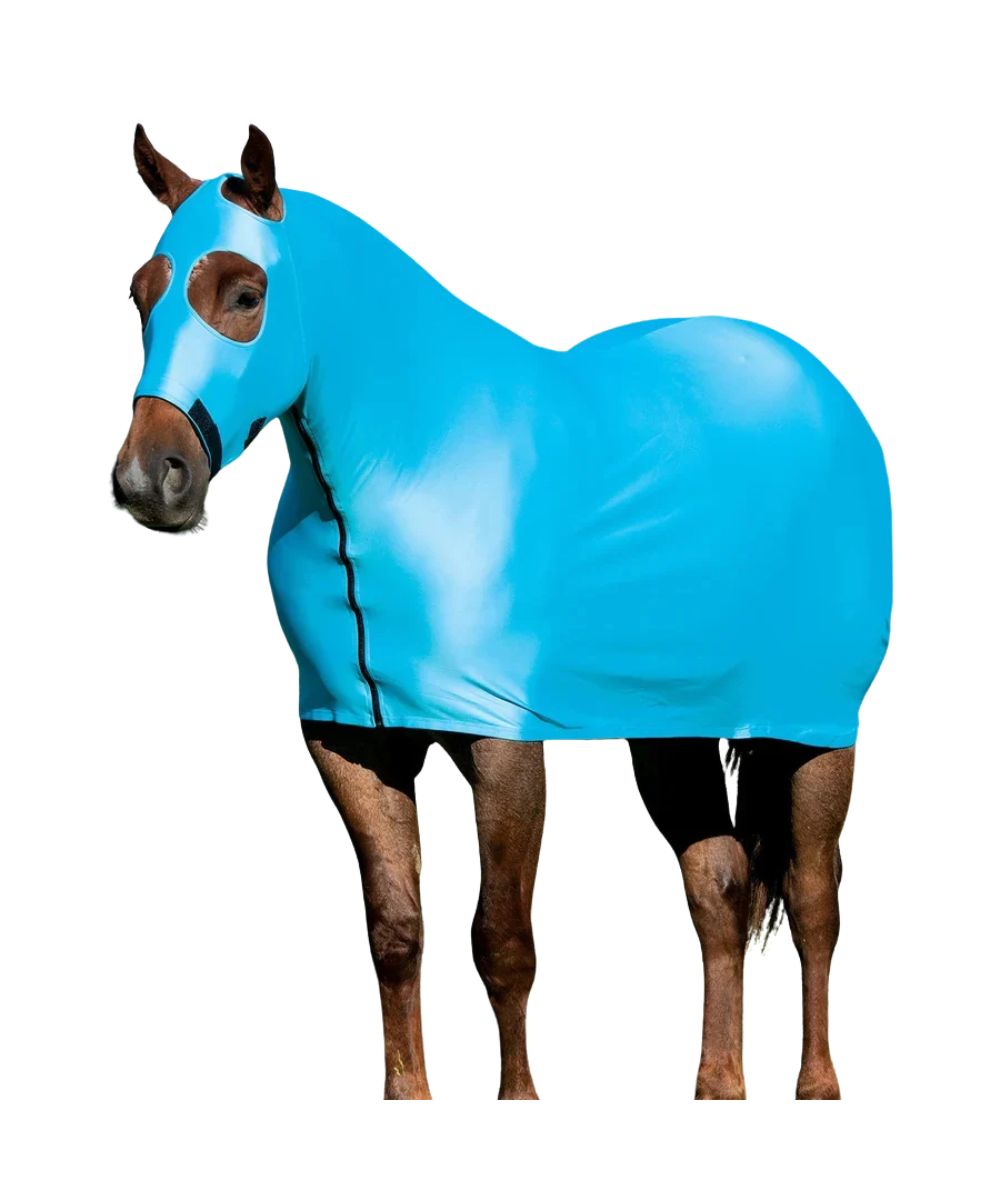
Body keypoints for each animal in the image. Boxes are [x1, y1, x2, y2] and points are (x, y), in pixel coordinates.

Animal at [113, 125, 891, 1100]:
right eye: (139, 294)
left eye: (245, 295)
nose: (150, 480)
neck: (416, 459)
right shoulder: (351, 743)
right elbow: (396, 933)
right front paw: (407, 1092)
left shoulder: (503, 744)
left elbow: (503, 943)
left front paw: (516, 1098)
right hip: (669, 730)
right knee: (719, 884)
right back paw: (718, 1086)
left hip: (813, 728)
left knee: (817, 899)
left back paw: (816, 1086)